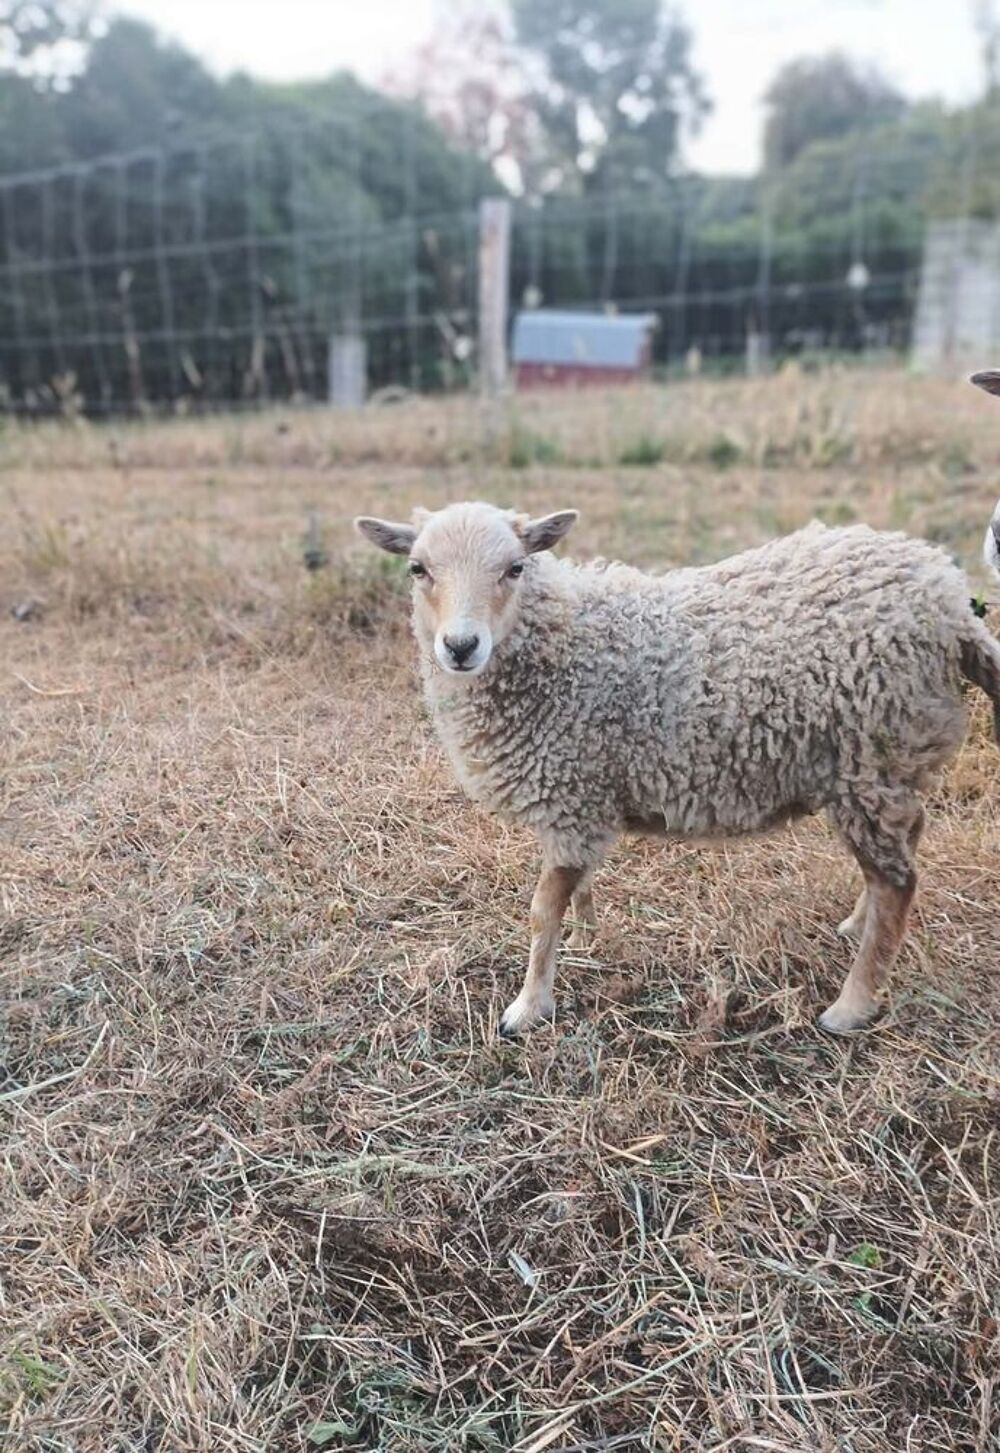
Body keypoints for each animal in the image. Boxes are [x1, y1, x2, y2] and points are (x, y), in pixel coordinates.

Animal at [355, 502, 1000, 1037]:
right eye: (417, 568)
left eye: (515, 567)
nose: (461, 647)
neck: (564, 644)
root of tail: (948, 601)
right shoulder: (581, 798)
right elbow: (574, 890)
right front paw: (587, 933)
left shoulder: (570, 794)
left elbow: (541, 912)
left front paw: (528, 1007)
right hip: (888, 765)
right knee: (904, 848)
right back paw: (855, 925)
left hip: (871, 756)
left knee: (898, 882)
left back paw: (850, 1006)